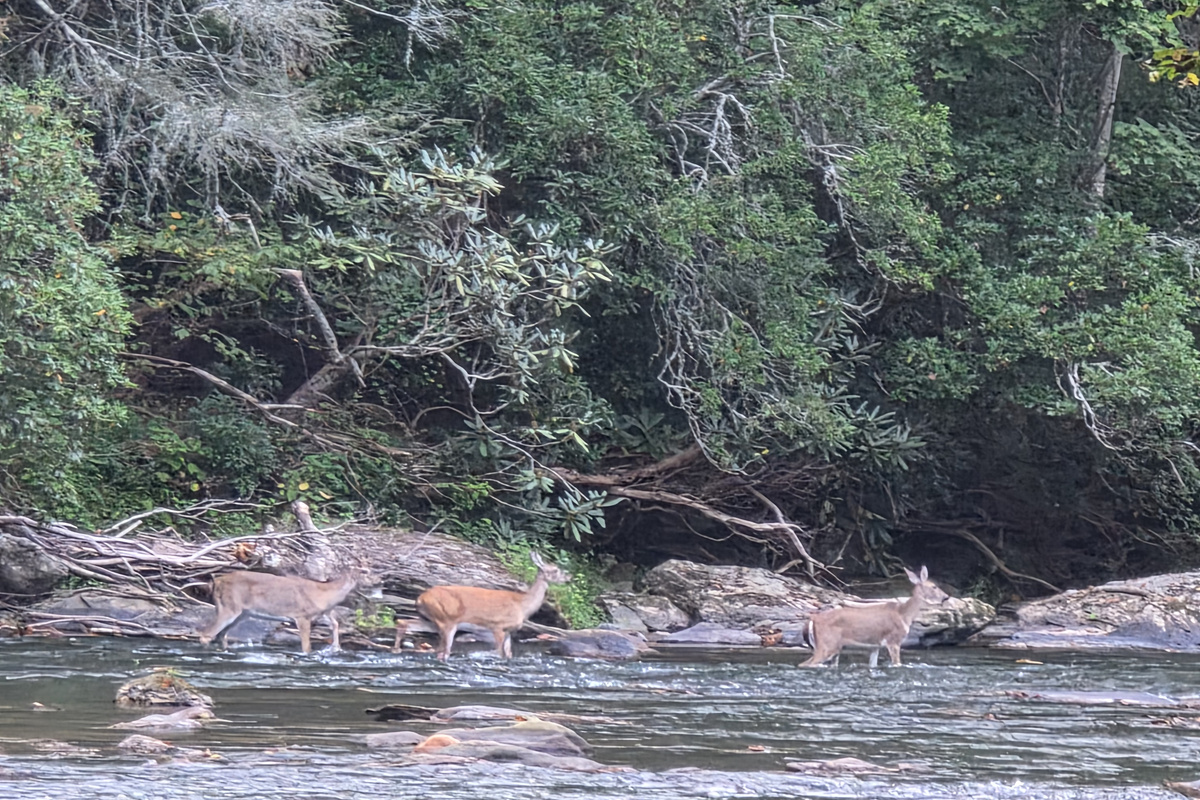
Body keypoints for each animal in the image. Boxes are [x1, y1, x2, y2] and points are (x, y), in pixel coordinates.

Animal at [198, 568, 376, 654]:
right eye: (365, 571)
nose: (379, 580)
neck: (324, 594)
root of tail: (216, 581)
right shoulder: (302, 615)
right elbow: (306, 646)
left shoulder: (323, 613)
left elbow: (335, 623)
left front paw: (336, 648)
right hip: (229, 607)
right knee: (206, 634)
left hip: (241, 613)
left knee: (221, 635)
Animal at [409, 551, 570, 660]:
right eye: (555, 569)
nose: (569, 576)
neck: (522, 605)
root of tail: (420, 598)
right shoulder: (497, 626)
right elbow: (499, 652)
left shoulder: (508, 631)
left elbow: (508, 654)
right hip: (447, 620)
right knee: (444, 651)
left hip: (433, 620)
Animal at [799, 565, 949, 668]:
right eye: (934, 587)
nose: (946, 597)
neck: (903, 614)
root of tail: (813, 619)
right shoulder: (893, 640)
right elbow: (897, 663)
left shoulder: (874, 646)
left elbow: (873, 664)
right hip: (827, 644)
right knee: (807, 663)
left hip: (831, 647)